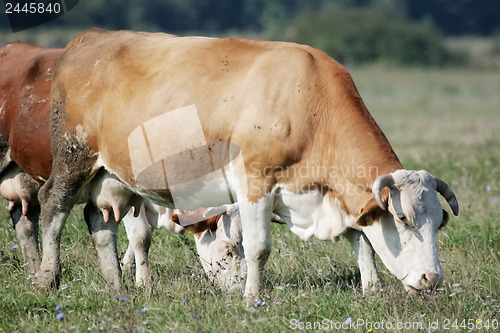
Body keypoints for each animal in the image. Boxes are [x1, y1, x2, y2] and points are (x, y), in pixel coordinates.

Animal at [0, 40, 246, 288]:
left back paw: (33, 271)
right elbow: (141, 237)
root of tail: (14, 46)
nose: (237, 289)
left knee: (25, 220)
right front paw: (143, 281)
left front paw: (128, 268)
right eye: (229, 249)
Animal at [38, 27, 458, 298]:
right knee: (52, 209)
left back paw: (115, 286)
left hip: (110, 178)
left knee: (100, 223)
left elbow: (361, 238)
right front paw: (252, 298)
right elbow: (258, 247)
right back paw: (45, 277)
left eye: (439, 221)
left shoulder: (335, 193)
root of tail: (89, 39)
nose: (433, 278)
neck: (309, 105)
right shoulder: (254, 182)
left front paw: (371, 288)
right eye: (402, 219)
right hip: (73, 159)